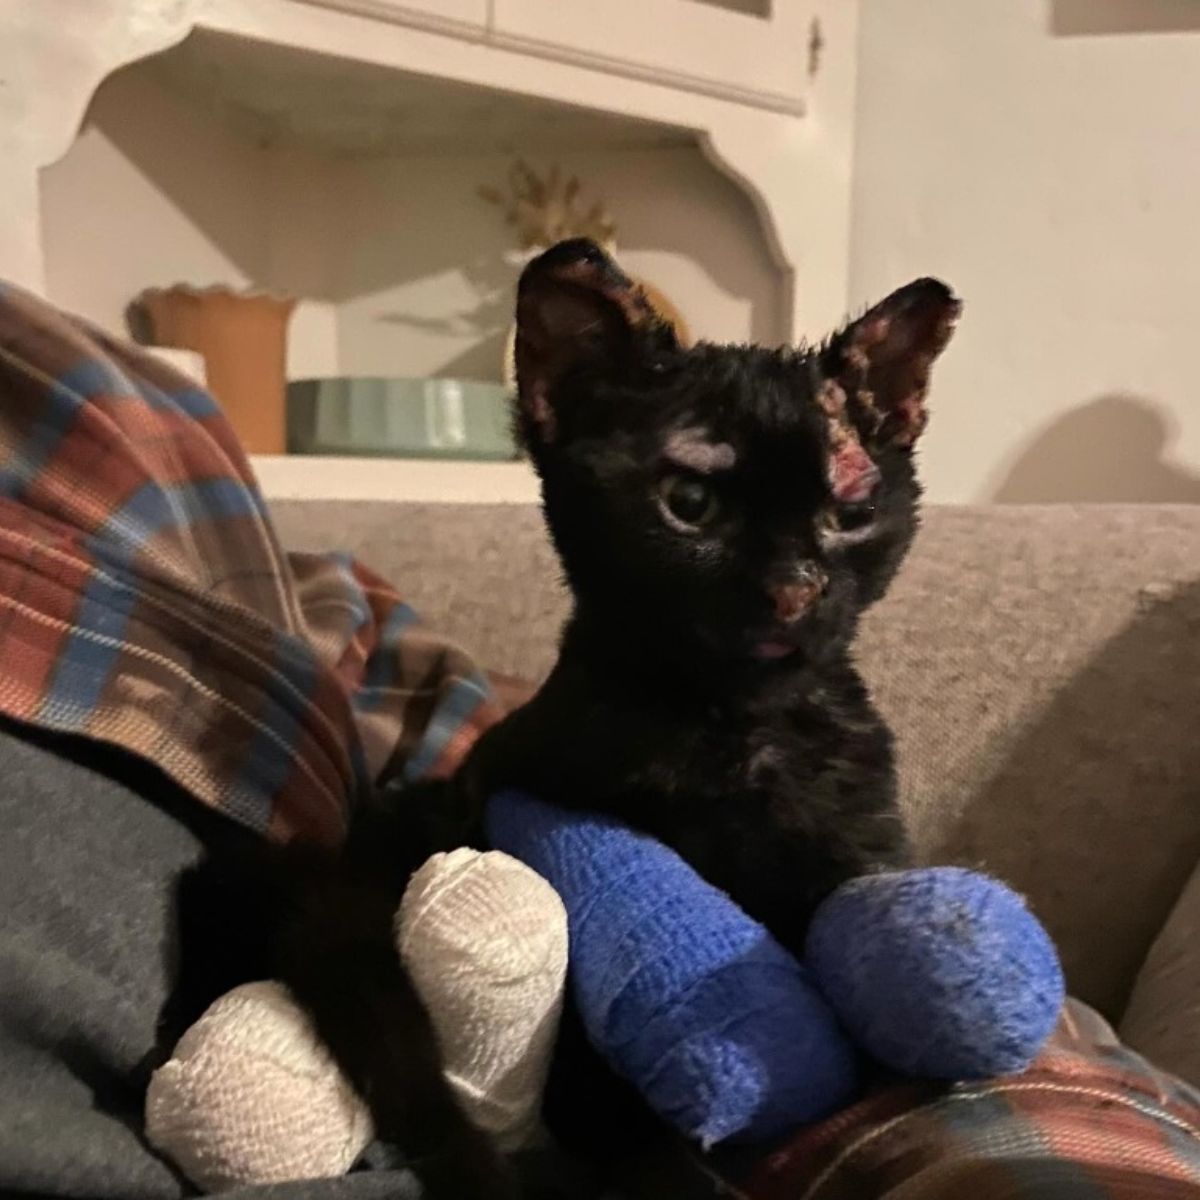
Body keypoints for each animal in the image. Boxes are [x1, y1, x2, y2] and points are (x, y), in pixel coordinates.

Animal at [166, 236, 955, 1200]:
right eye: (689, 503)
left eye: (852, 513)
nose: (795, 590)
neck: (728, 733)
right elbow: (620, 1110)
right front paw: (674, 1167)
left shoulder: (855, 853)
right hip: (349, 913)